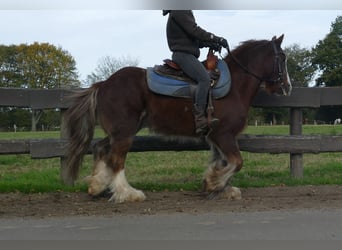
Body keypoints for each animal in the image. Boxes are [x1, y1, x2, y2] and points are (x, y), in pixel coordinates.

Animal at [64, 34, 292, 203]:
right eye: (282, 58)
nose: (287, 87)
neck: (235, 86)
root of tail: (103, 84)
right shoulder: (224, 134)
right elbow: (236, 161)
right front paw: (214, 183)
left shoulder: (216, 137)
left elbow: (223, 161)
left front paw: (219, 188)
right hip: (124, 132)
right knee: (117, 159)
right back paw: (128, 193)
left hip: (121, 130)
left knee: (101, 148)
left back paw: (97, 185)